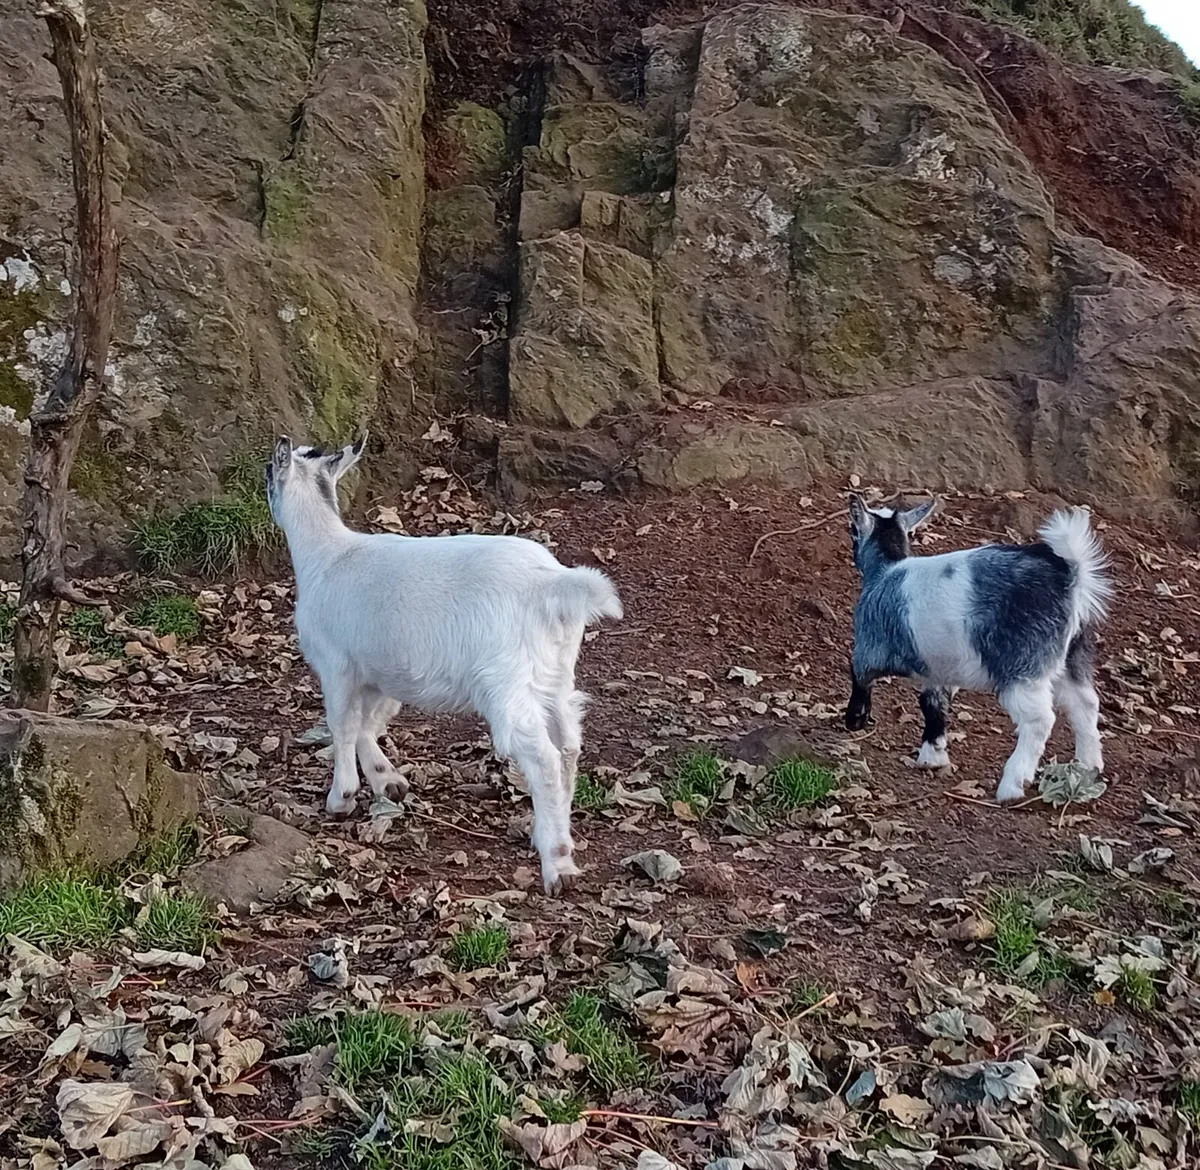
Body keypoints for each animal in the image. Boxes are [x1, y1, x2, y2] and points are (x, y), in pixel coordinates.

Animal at [266, 435, 623, 894]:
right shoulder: (379, 671)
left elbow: (342, 725)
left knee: (542, 755)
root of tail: (551, 583)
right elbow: (369, 722)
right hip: (554, 673)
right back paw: (551, 833)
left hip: (506, 679)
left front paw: (340, 797)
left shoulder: (337, 663)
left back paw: (556, 863)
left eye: (268, 475)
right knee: (568, 746)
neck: (328, 554)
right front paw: (388, 781)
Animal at [843, 496, 1111, 803]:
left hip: (1022, 665)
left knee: (1039, 720)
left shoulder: (869, 646)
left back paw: (1012, 786)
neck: (886, 570)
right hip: (1071, 656)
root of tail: (1070, 574)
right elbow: (933, 704)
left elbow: (860, 678)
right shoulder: (937, 669)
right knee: (1085, 703)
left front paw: (854, 719)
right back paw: (1089, 765)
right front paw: (933, 756)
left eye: (853, 530)